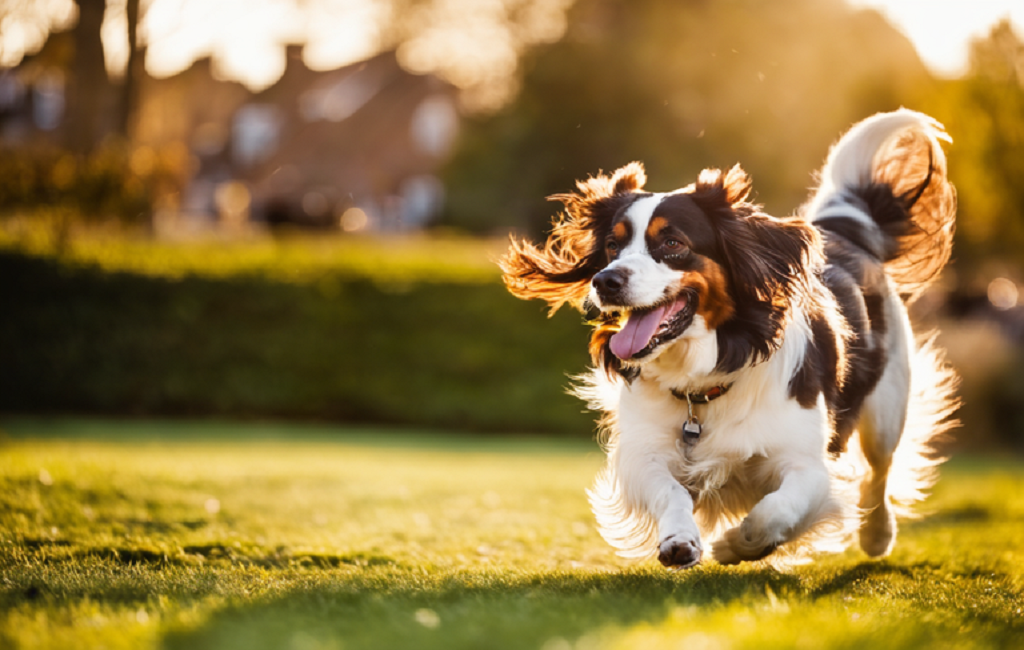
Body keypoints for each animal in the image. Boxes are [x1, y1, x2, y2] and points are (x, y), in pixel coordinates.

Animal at [501, 109, 958, 569]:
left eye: (672, 243)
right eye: (613, 245)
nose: (605, 280)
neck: (702, 380)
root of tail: (841, 232)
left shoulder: (809, 464)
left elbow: (776, 509)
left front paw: (736, 545)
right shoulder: (643, 450)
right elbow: (672, 491)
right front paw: (680, 539)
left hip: (887, 407)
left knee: (879, 472)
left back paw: (877, 535)